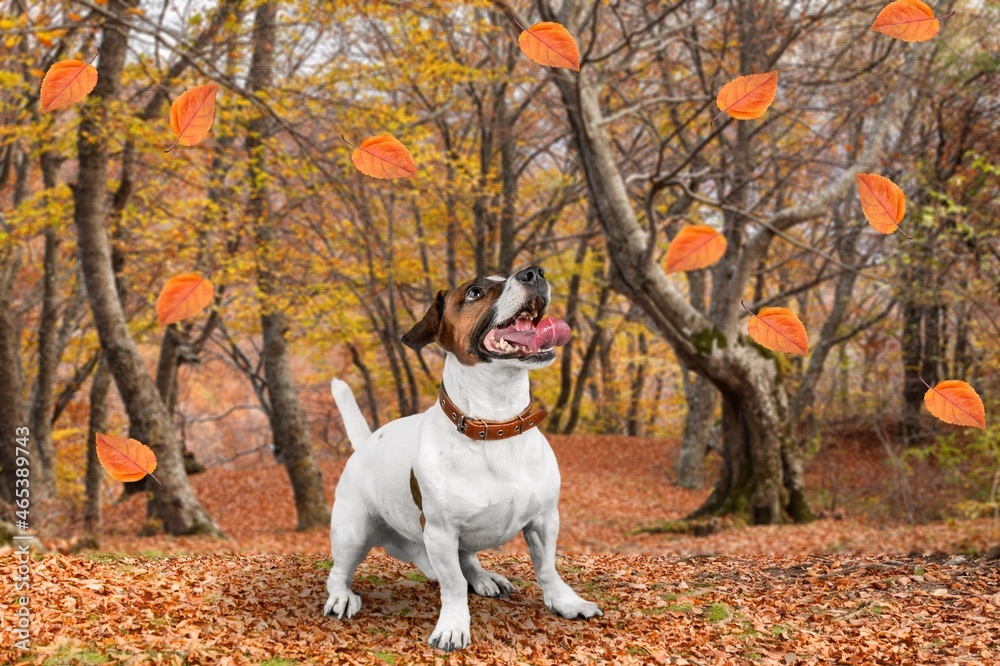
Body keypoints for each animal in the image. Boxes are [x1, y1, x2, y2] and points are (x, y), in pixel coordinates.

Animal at [324, 264, 600, 648]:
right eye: (474, 293)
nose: (534, 272)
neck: (496, 423)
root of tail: (365, 443)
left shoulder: (545, 519)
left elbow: (546, 567)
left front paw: (566, 602)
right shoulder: (440, 532)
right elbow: (452, 585)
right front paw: (453, 626)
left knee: (467, 558)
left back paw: (483, 578)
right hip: (353, 531)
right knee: (339, 572)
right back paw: (341, 597)